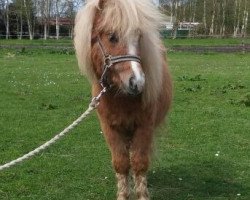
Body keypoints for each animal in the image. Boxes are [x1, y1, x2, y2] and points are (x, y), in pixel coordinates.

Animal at [73, 0, 172, 199]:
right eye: (112, 37)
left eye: (139, 37)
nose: (137, 82)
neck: (121, 99)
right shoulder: (110, 128)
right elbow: (121, 163)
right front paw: (123, 194)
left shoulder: (144, 126)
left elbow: (139, 163)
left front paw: (141, 193)